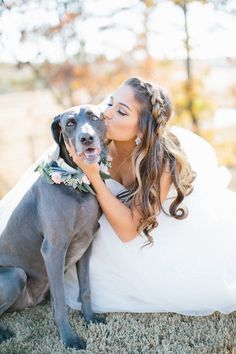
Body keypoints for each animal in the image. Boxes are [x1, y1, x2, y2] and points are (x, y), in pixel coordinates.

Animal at [0, 103, 107, 350]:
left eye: (94, 117)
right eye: (69, 124)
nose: (86, 138)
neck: (76, 183)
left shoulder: (86, 245)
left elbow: (85, 288)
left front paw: (90, 318)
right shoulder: (54, 250)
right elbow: (60, 304)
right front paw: (69, 339)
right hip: (14, 275)